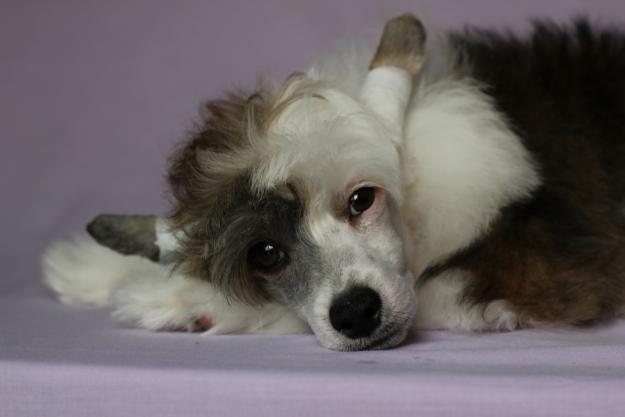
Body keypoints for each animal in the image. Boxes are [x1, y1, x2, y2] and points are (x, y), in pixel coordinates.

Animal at [42, 14, 624, 350]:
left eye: (361, 200)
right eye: (265, 252)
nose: (356, 313)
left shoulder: (552, 271)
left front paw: (189, 301)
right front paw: (91, 264)